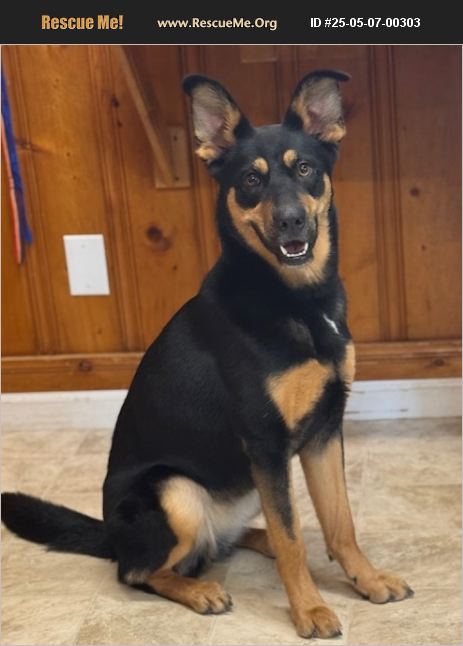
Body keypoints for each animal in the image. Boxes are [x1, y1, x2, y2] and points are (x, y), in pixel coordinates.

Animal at [2, 70, 413, 639]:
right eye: (251, 181)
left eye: (305, 169)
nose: (291, 223)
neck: (294, 298)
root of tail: (111, 535)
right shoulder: (266, 444)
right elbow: (292, 537)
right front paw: (308, 609)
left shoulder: (324, 432)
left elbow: (339, 523)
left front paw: (366, 580)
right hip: (175, 491)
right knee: (139, 572)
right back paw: (198, 590)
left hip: (242, 487)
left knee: (236, 537)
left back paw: (251, 542)